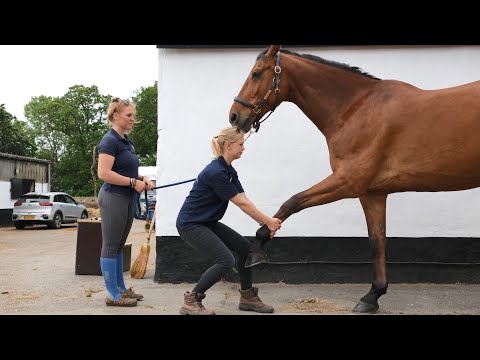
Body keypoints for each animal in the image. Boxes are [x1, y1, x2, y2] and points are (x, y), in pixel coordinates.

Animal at [227, 45, 480, 314]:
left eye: (256, 73)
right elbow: (377, 241)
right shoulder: (372, 193)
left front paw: (256, 249)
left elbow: (292, 201)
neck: (356, 109)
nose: (234, 116)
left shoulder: (348, 181)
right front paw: (372, 296)